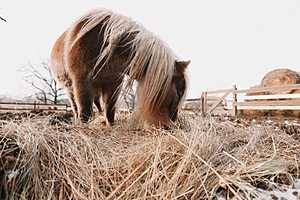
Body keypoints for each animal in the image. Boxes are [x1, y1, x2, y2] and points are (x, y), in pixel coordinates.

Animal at [49, 9, 190, 126]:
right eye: (179, 92)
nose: (173, 120)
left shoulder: (114, 84)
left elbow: (110, 110)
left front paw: (110, 126)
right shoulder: (81, 81)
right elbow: (85, 111)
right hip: (70, 88)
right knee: (75, 107)